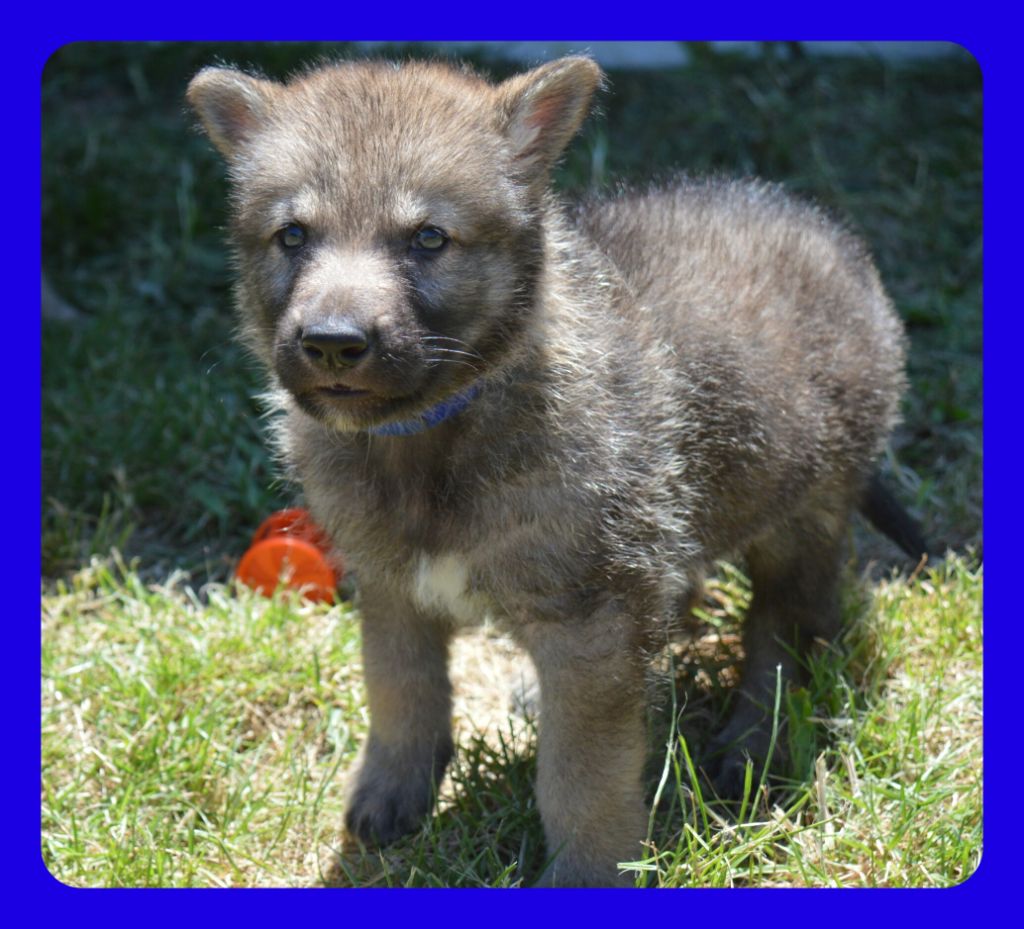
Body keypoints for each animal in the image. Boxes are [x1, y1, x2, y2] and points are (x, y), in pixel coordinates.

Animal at [187, 55, 924, 886]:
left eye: (428, 238)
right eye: (293, 235)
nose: (333, 342)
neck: (439, 431)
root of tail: (829, 236)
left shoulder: (591, 619)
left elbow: (583, 772)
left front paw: (589, 869)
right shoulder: (392, 584)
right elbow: (399, 689)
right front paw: (392, 793)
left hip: (800, 514)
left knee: (786, 630)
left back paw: (750, 745)